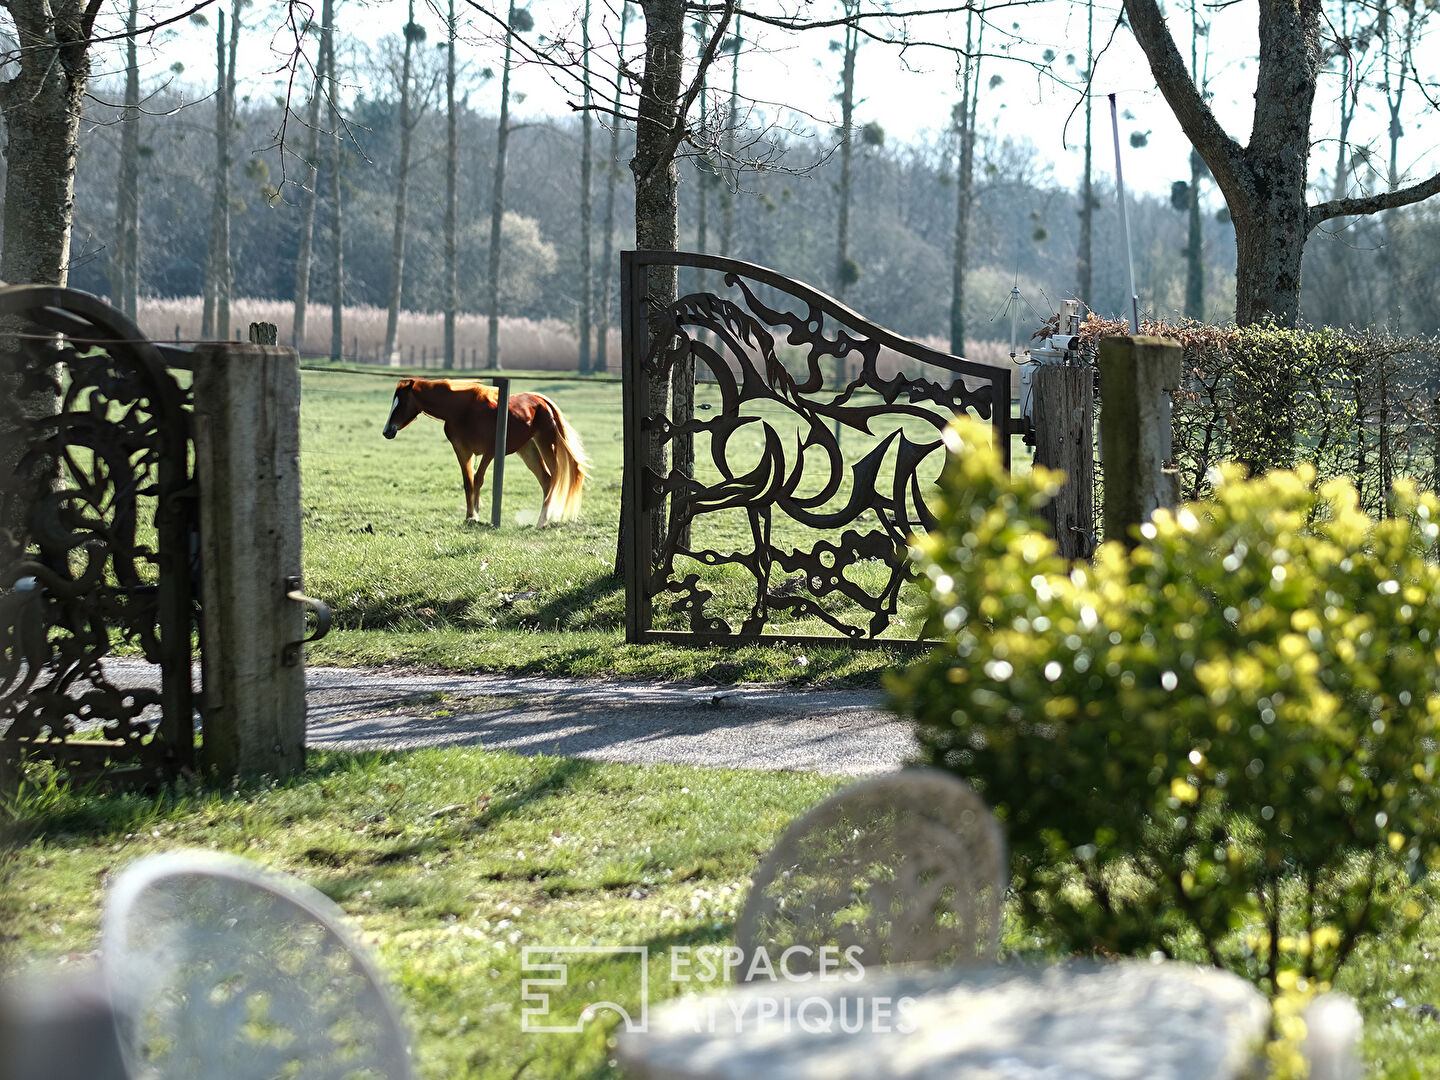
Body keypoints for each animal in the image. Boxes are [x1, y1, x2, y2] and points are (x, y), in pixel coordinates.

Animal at [383, 377, 590, 527]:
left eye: (401, 404)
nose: (387, 431)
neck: (463, 411)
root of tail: (542, 401)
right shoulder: (463, 451)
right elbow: (468, 482)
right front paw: (470, 516)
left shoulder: (489, 452)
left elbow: (478, 479)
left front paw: (474, 515)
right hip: (528, 450)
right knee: (546, 480)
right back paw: (541, 520)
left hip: (547, 444)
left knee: (555, 477)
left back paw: (542, 521)